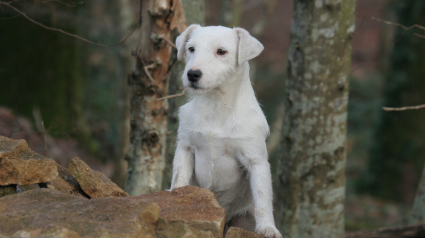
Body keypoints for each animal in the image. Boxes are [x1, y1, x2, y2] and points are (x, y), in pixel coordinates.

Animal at [169, 24, 282, 238]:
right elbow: (179, 180)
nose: (192, 74)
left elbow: (263, 197)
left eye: (221, 51)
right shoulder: (185, 149)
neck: (216, 106)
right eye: (191, 49)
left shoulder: (256, 161)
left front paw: (267, 228)